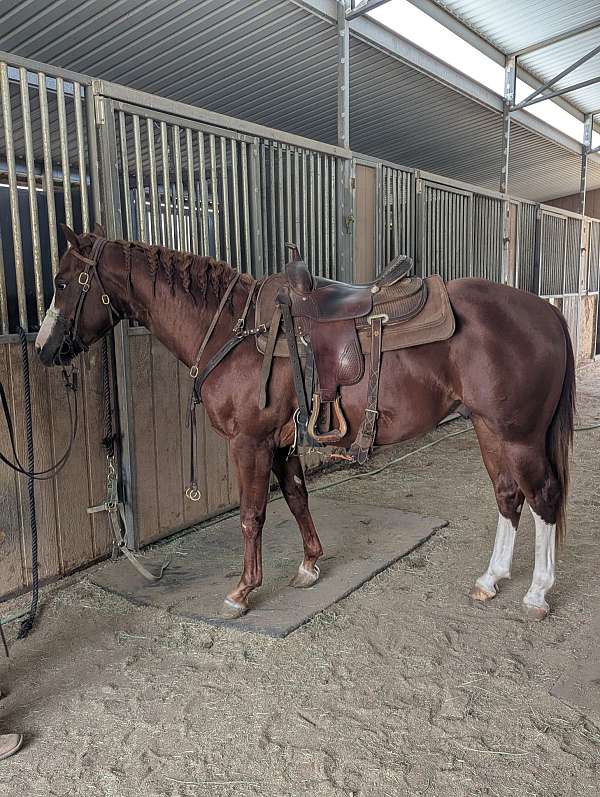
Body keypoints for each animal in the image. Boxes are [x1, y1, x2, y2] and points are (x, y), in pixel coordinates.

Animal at [36, 224, 575, 622]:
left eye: (63, 283)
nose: (43, 350)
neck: (236, 331)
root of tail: (547, 312)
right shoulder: (281, 443)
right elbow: (297, 497)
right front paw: (310, 564)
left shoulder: (249, 443)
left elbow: (252, 515)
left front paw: (242, 592)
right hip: (488, 429)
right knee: (508, 496)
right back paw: (491, 579)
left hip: (520, 436)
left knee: (543, 497)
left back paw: (537, 593)